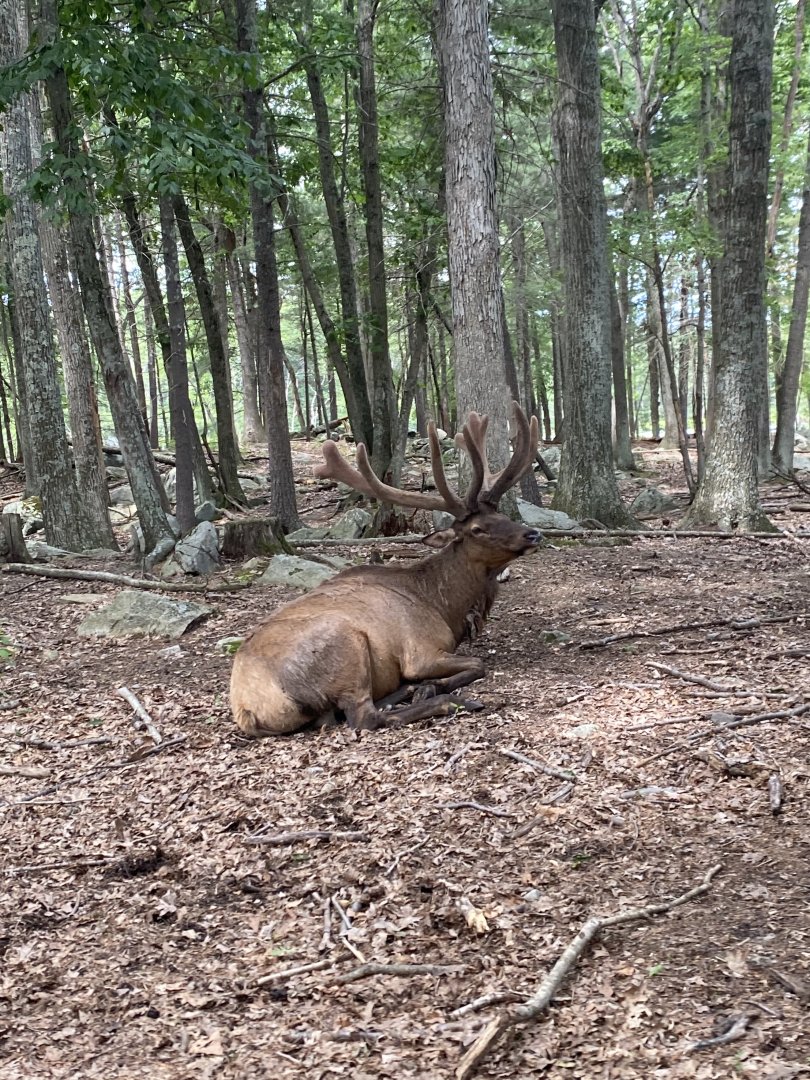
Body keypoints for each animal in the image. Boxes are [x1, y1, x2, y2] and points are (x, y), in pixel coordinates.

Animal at [230, 402, 542, 735]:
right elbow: (477, 663)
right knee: (364, 717)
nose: (534, 534)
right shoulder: (421, 652)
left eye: (501, 514)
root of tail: (248, 710)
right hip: (347, 648)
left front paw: (426, 686)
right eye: (477, 529)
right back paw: (451, 701)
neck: (445, 607)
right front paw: (433, 686)